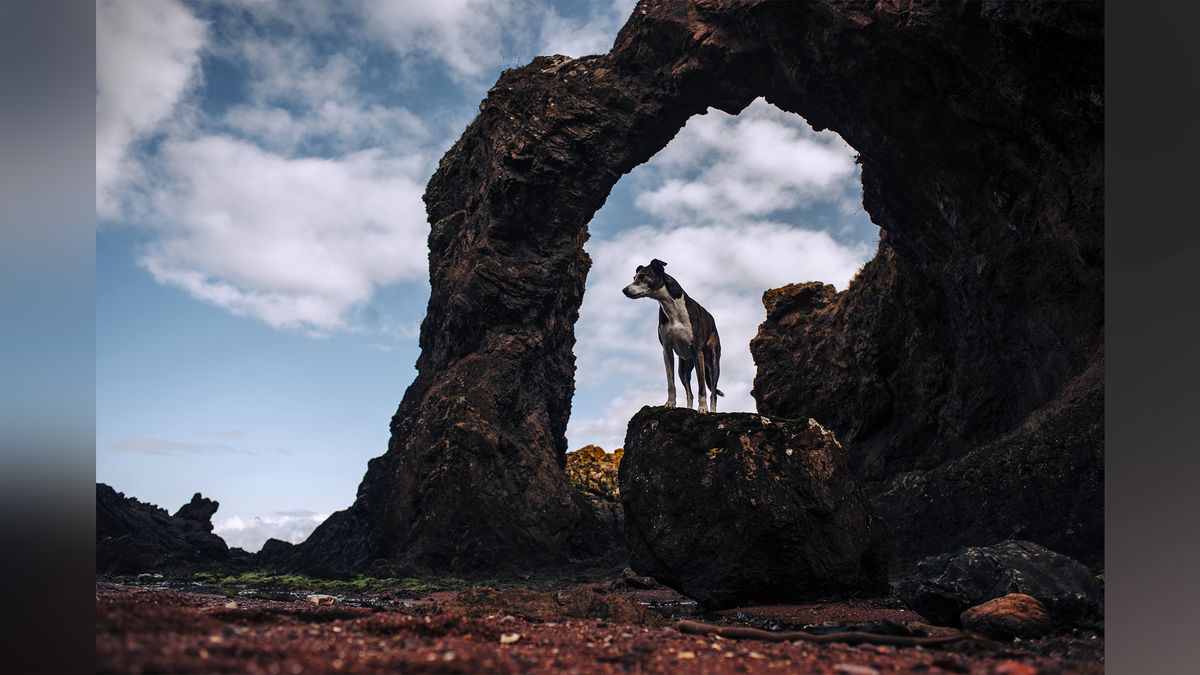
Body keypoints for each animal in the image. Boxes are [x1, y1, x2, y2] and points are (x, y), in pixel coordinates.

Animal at [624, 258, 724, 410]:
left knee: (713, 392)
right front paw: (670, 403)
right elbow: (671, 383)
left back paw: (711, 410)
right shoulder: (667, 350)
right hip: (683, 368)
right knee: (689, 393)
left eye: (642, 276)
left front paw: (703, 408)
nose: (624, 290)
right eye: (634, 277)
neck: (672, 308)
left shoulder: (697, 351)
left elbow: (701, 387)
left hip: (713, 363)